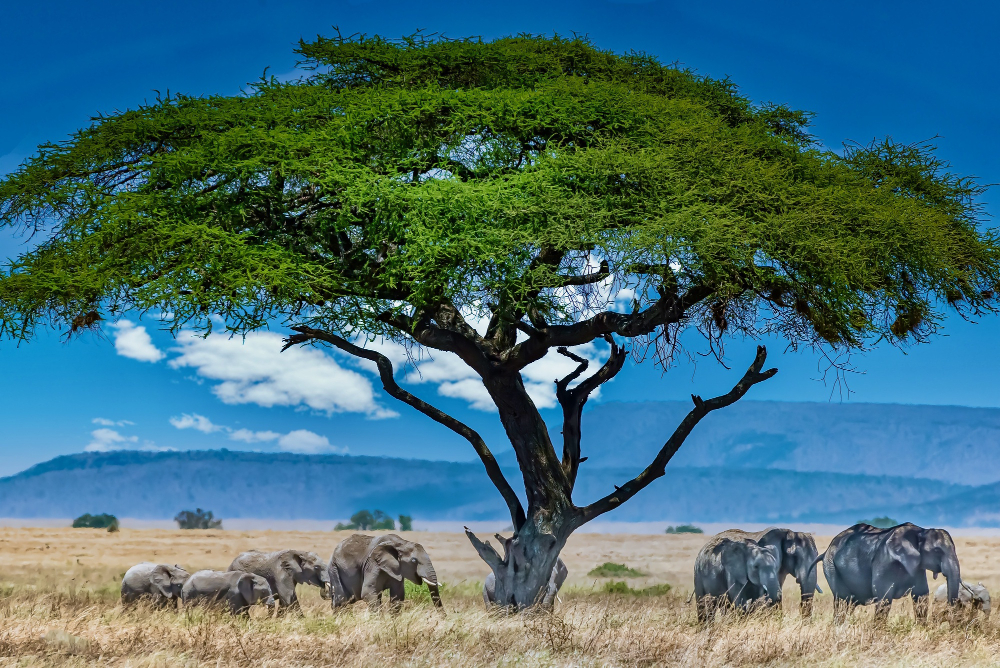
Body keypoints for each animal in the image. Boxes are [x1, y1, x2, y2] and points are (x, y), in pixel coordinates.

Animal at [820, 520, 960, 628]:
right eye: (937, 551)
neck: (920, 531)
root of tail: (827, 550)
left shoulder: (918, 567)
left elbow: (921, 596)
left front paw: (922, 629)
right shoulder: (884, 561)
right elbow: (884, 598)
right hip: (831, 567)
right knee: (842, 601)